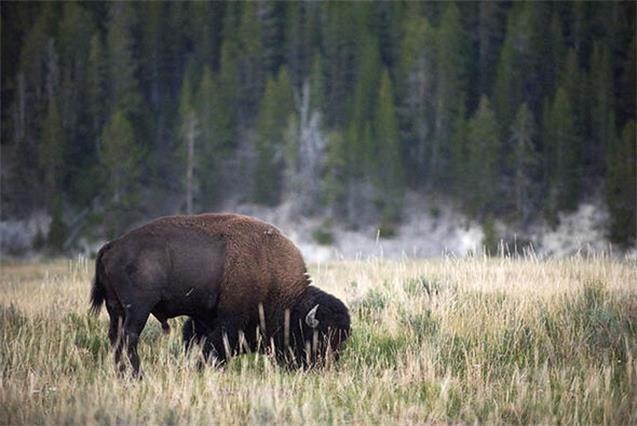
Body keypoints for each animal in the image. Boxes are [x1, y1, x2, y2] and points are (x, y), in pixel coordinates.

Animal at [89, 213, 350, 376]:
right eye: (320, 336)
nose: (323, 368)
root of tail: (112, 246)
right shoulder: (229, 321)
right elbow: (215, 348)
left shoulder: (202, 320)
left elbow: (196, 341)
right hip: (138, 309)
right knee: (129, 338)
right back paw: (138, 375)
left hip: (116, 308)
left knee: (115, 338)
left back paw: (123, 374)